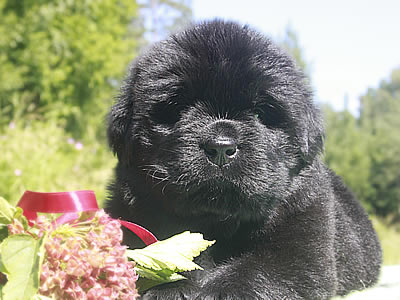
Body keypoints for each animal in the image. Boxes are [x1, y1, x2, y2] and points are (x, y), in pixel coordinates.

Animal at [105, 19, 382, 298]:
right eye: (176, 108)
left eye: (262, 113)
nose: (220, 147)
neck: (219, 222)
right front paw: (172, 288)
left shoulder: (304, 239)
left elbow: (263, 269)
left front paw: (222, 289)